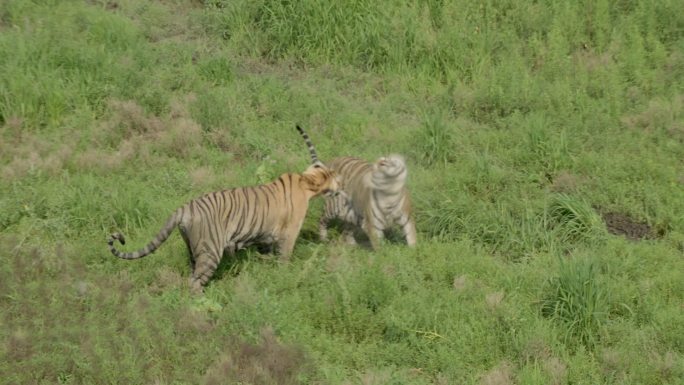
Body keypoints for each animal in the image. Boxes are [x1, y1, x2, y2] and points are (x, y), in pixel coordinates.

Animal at [107, 160, 340, 292]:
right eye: (334, 177)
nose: (339, 186)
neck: (307, 182)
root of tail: (185, 207)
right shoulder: (289, 234)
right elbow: (284, 258)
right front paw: (284, 276)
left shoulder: (266, 237)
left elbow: (267, 255)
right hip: (210, 250)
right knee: (195, 282)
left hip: (193, 248)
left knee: (191, 274)